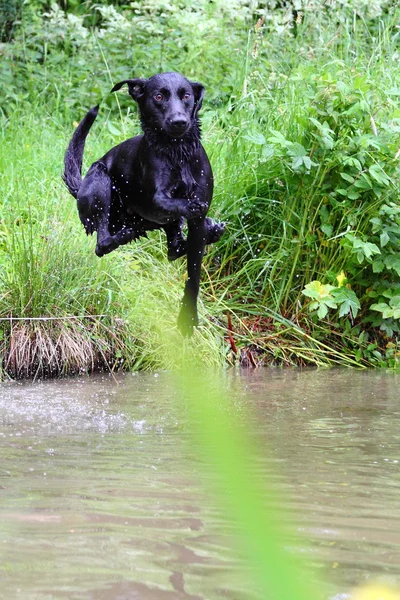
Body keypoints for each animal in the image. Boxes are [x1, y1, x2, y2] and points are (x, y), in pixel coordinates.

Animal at [63, 72, 225, 336]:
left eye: (186, 96)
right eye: (158, 96)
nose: (179, 122)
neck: (176, 152)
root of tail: (80, 188)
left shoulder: (196, 222)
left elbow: (193, 274)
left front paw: (188, 317)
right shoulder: (155, 199)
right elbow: (175, 203)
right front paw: (192, 205)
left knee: (175, 249)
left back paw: (212, 232)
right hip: (100, 180)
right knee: (102, 243)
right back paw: (126, 233)